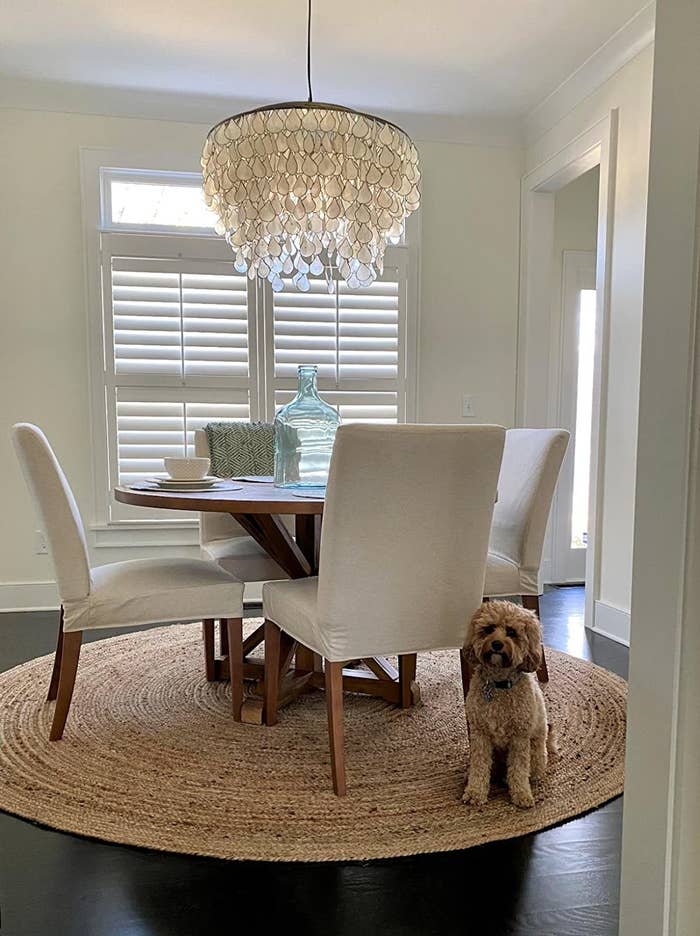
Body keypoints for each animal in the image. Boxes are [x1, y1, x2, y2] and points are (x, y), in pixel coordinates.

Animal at [462, 604, 556, 808]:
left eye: (512, 632)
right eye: (489, 628)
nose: (497, 644)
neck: (498, 684)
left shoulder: (519, 737)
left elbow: (519, 769)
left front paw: (521, 794)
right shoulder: (480, 734)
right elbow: (479, 765)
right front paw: (475, 792)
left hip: (535, 747)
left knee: (532, 767)